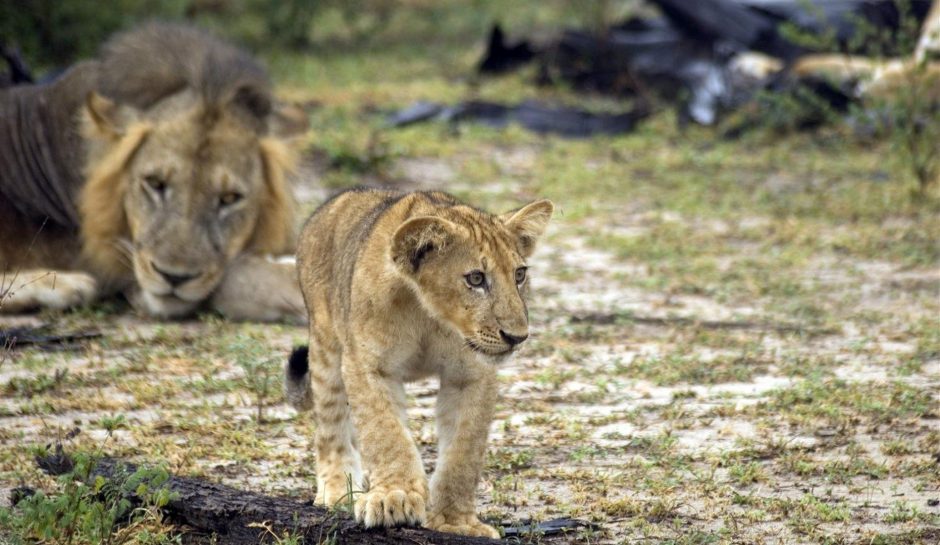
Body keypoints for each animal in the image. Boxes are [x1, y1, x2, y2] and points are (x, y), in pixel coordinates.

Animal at [0, 23, 306, 320]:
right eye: (155, 183)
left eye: (230, 198)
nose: (174, 277)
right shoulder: (131, 276)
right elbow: (247, 277)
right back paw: (69, 285)